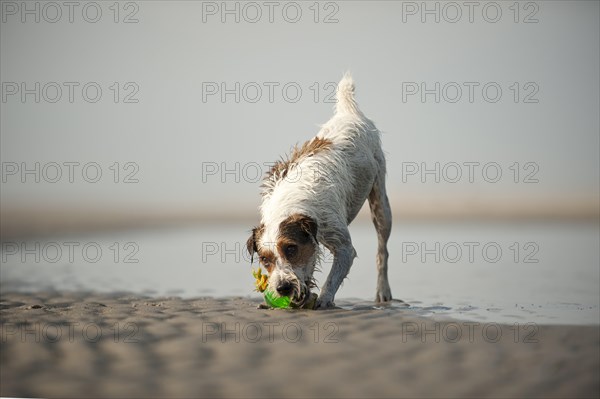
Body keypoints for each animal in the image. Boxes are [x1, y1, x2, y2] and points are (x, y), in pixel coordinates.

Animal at [246, 73, 392, 310]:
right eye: (265, 259)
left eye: (291, 248)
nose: (283, 288)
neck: (289, 204)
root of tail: (348, 113)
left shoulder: (342, 246)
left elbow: (333, 277)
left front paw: (323, 300)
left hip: (381, 202)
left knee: (382, 251)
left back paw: (383, 290)